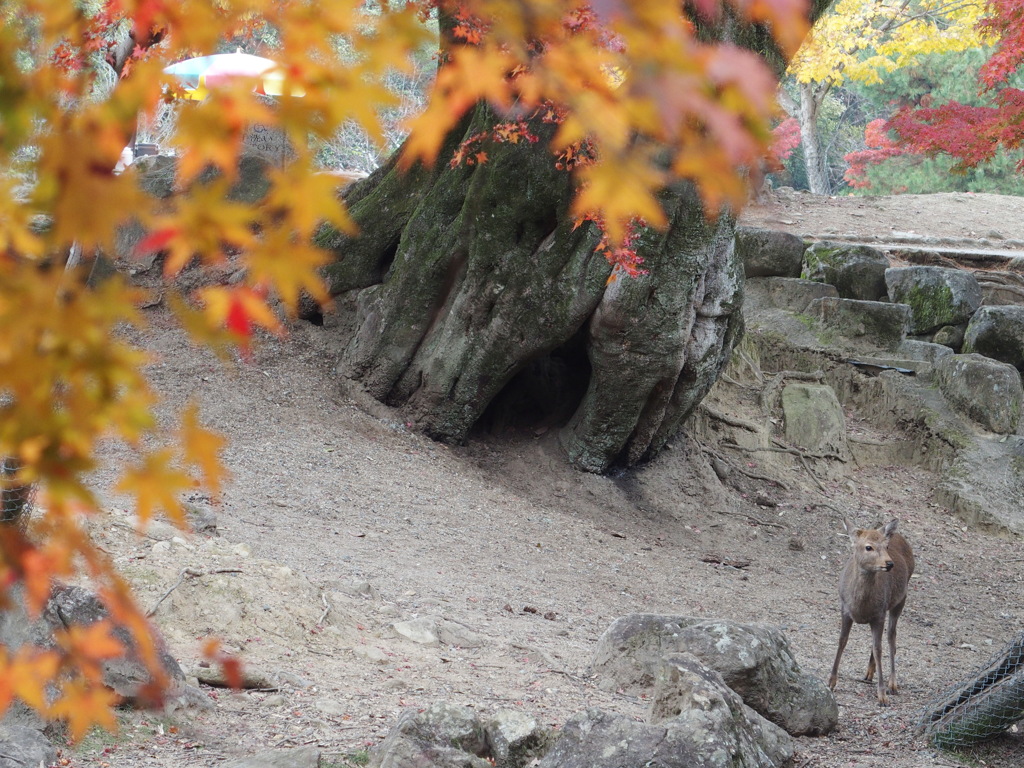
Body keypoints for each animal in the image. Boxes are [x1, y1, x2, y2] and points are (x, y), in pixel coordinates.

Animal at [827, 520, 917, 708]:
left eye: (886, 546)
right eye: (868, 547)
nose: (889, 564)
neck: (861, 606)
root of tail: (896, 534)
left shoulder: (879, 614)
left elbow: (878, 648)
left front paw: (882, 695)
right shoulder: (844, 609)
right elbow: (842, 641)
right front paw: (831, 682)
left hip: (901, 599)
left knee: (891, 637)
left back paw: (892, 683)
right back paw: (869, 673)